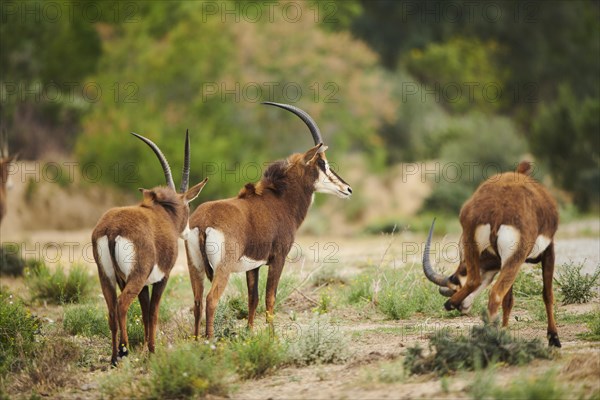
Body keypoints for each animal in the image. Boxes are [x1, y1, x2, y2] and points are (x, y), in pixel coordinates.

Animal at [422, 160, 564, 346]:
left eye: (455, 284)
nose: (462, 307)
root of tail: (496, 209)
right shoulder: (548, 250)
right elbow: (547, 294)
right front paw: (554, 338)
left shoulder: (504, 262)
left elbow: (509, 300)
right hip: (515, 258)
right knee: (495, 294)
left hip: (474, 246)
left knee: (475, 281)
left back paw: (453, 306)